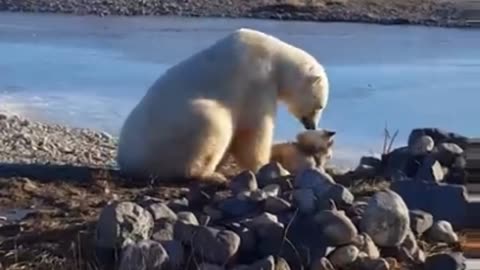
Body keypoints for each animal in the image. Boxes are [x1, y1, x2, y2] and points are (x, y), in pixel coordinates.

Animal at [116, 27, 330, 181]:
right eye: (320, 106)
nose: (312, 126)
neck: (274, 56)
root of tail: (127, 161)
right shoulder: (257, 80)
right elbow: (253, 130)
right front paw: (270, 167)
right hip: (170, 135)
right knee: (213, 122)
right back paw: (211, 175)